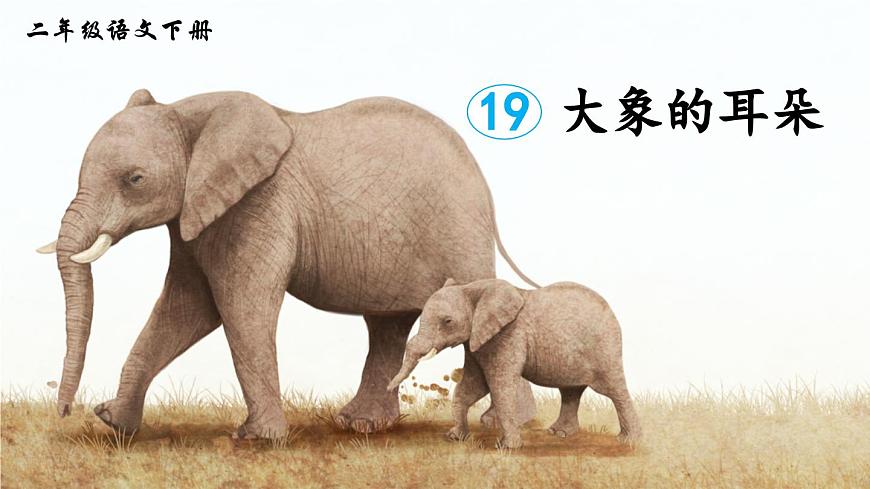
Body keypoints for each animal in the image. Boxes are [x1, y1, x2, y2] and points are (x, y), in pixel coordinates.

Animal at [36, 89, 541, 438]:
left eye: (135, 179)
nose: (64, 411)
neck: (189, 111)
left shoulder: (261, 203)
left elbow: (239, 307)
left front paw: (255, 438)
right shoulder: (197, 214)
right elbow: (186, 308)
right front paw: (113, 421)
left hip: (459, 232)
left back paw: (505, 423)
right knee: (387, 325)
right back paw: (360, 426)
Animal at [387, 278, 641, 448]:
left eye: (447, 321)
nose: (390, 388)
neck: (474, 289)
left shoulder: (508, 336)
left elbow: (500, 386)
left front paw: (507, 448)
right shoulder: (478, 341)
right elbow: (471, 386)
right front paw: (455, 438)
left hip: (605, 350)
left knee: (614, 390)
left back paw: (629, 440)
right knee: (571, 391)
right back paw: (558, 433)